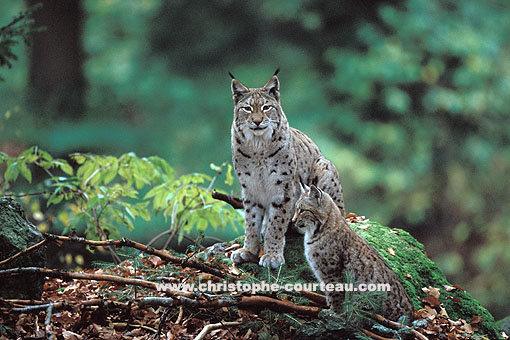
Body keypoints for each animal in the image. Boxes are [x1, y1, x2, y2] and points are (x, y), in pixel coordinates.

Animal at [230, 71, 344, 268]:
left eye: (266, 107)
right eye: (247, 109)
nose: (257, 122)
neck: (257, 145)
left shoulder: (282, 187)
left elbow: (277, 222)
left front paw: (272, 255)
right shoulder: (249, 188)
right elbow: (251, 222)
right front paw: (249, 251)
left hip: (324, 166)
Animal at [292, 186, 412, 322]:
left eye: (302, 210)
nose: (293, 220)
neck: (318, 230)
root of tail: (411, 316)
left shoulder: (332, 273)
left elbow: (335, 295)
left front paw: (333, 314)